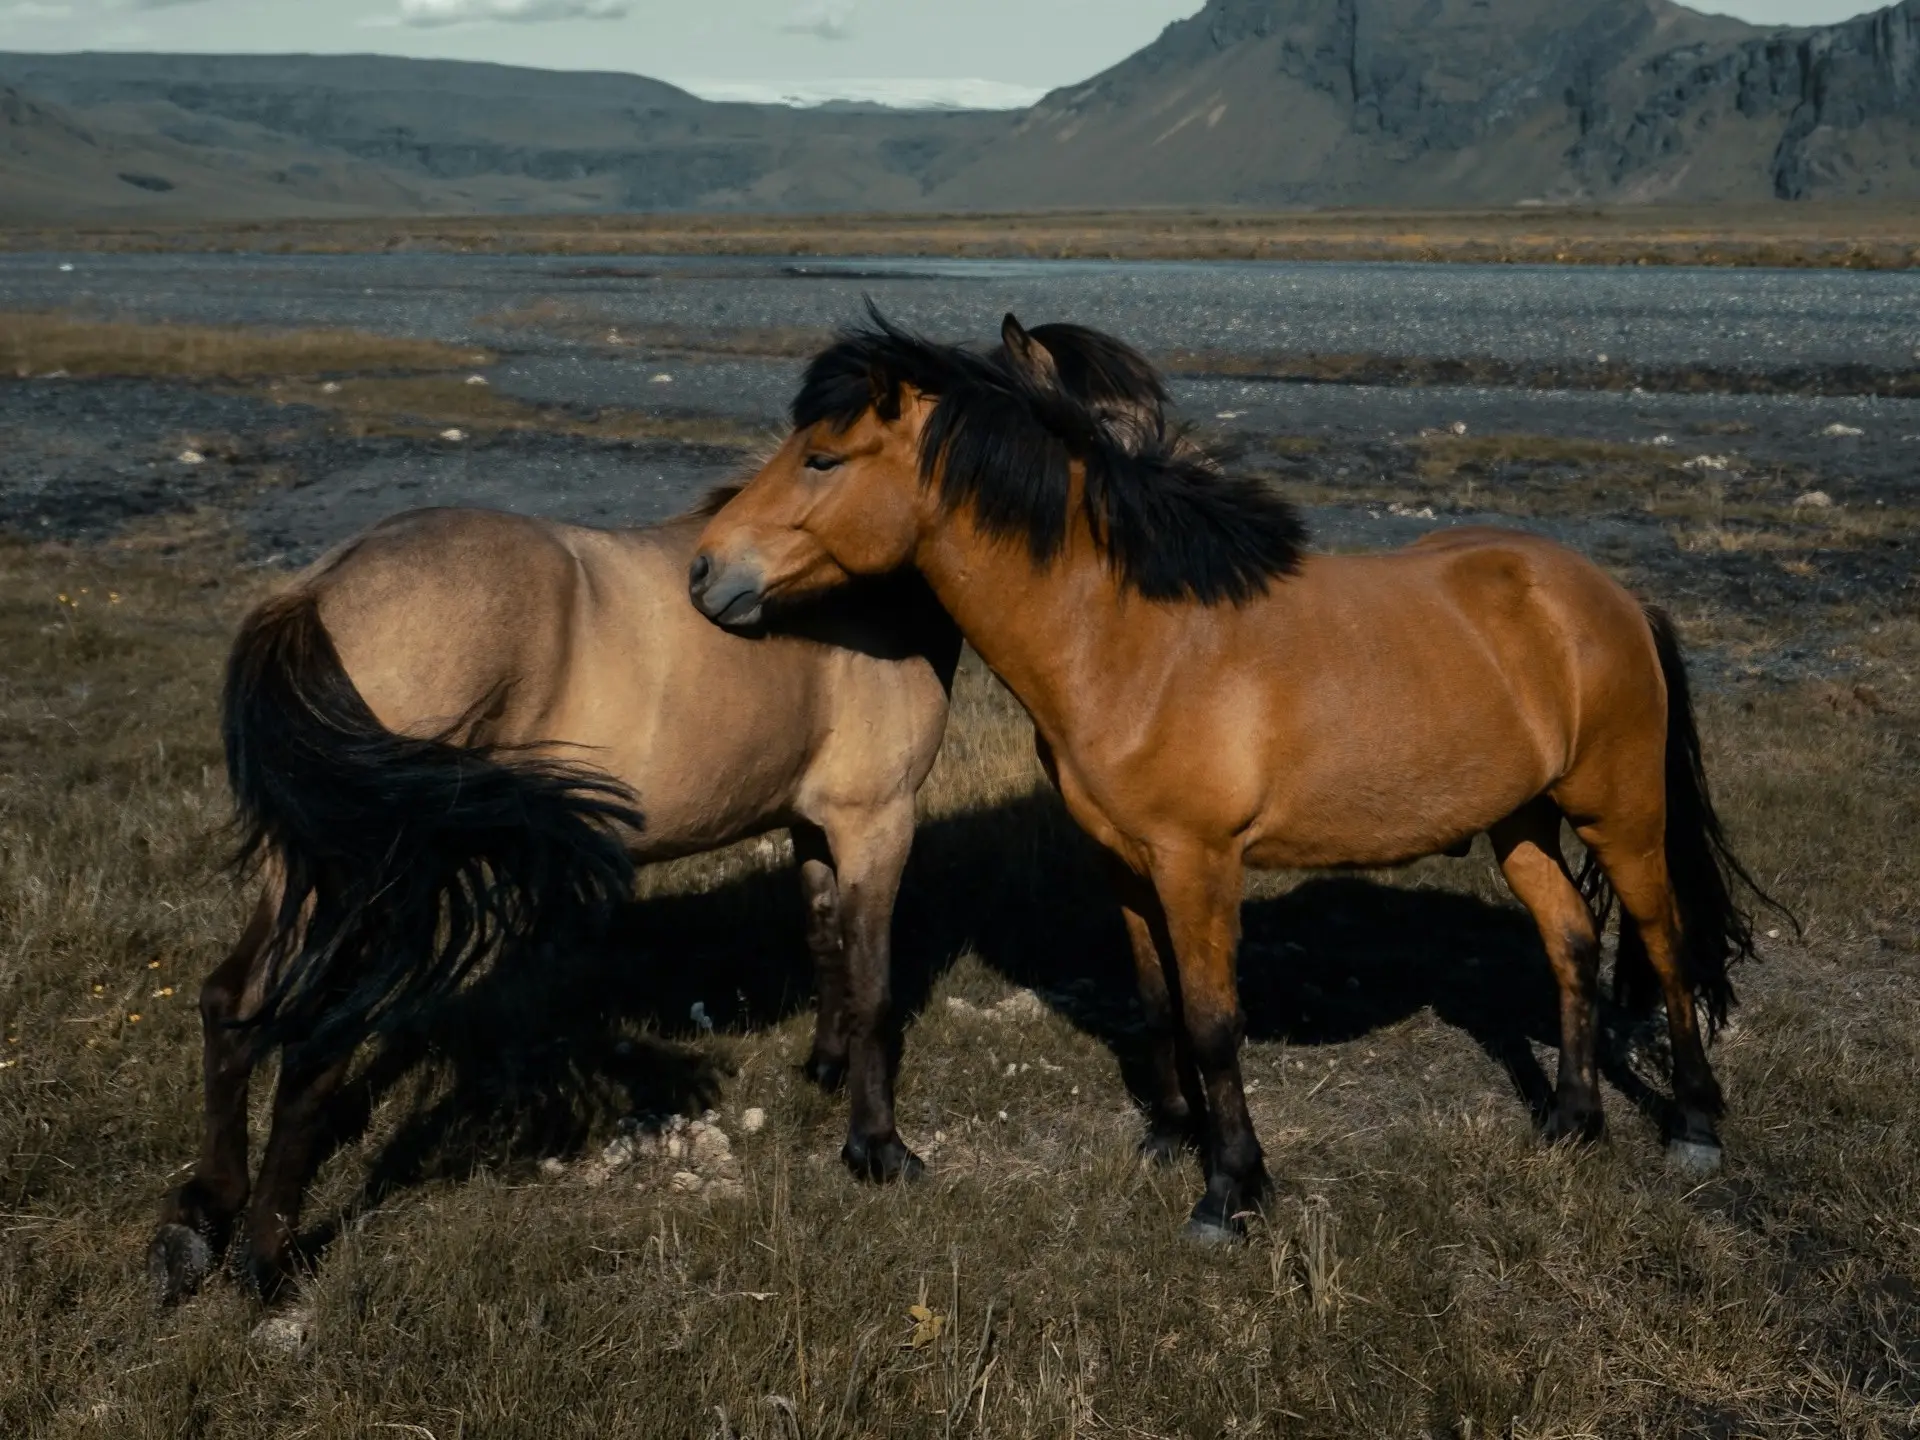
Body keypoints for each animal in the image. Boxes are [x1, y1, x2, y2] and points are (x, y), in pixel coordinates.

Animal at [698, 312, 1789, 1244]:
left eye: (822, 458)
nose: (707, 571)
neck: (1134, 640)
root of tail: (1611, 595)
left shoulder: (1200, 865)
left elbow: (1217, 1023)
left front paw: (1232, 1188)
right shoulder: (1126, 864)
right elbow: (1156, 1001)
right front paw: (1171, 1136)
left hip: (1621, 814)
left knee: (1664, 941)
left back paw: (1694, 1125)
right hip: (1520, 821)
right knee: (1570, 940)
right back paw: (1570, 1119)